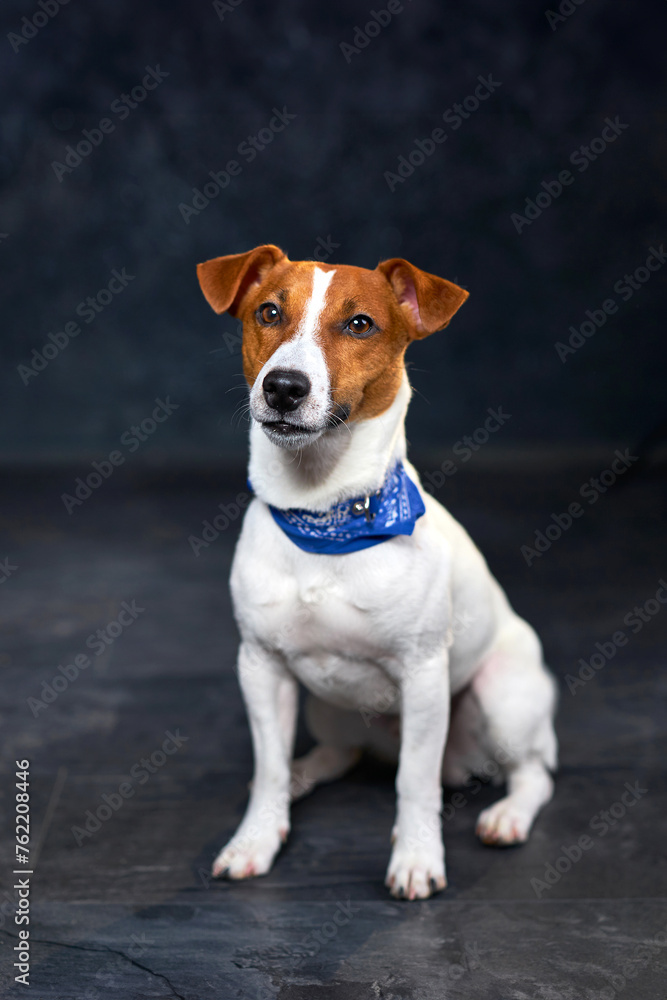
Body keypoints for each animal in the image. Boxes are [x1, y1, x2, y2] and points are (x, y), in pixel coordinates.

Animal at [197, 246, 560, 904]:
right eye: (268, 312)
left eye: (360, 324)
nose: (283, 387)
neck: (324, 516)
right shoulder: (260, 666)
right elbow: (266, 769)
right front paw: (256, 838)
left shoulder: (423, 675)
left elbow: (414, 784)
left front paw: (416, 859)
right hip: (323, 706)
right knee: (338, 753)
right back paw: (303, 773)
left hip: (502, 697)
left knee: (532, 773)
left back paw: (508, 816)